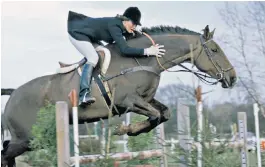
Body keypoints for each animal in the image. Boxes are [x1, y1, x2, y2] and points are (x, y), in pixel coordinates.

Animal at [1, 24, 236, 166]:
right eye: (214, 50)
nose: (232, 78)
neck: (141, 60)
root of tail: (13, 95)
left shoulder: (146, 100)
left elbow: (164, 114)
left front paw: (131, 130)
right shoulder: (129, 101)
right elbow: (155, 115)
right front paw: (125, 129)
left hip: (30, 138)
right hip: (26, 138)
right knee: (5, 154)